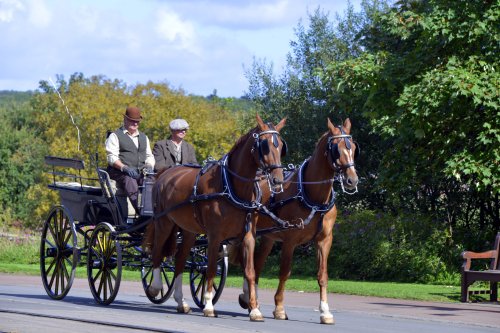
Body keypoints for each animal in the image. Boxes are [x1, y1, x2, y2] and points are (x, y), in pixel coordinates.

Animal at [143, 113, 288, 320]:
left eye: (281, 145)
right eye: (265, 145)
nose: (278, 180)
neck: (231, 186)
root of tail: (165, 173)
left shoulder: (248, 235)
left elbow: (250, 271)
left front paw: (254, 309)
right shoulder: (214, 235)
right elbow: (210, 269)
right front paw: (209, 305)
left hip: (188, 230)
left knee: (180, 260)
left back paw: (181, 302)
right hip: (163, 222)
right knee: (156, 253)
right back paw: (155, 287)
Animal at [232, 116, 358, 322]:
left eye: (353, 147)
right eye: (336, 149)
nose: (352, 180)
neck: (313, 198)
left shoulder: (324, 240)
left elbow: (323, 275)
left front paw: (325, 311)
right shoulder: (290, 240)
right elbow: (285, 273)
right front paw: (279, 308)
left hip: (268, 237)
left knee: (256, 265)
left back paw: (250, 300)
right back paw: (250, 300)